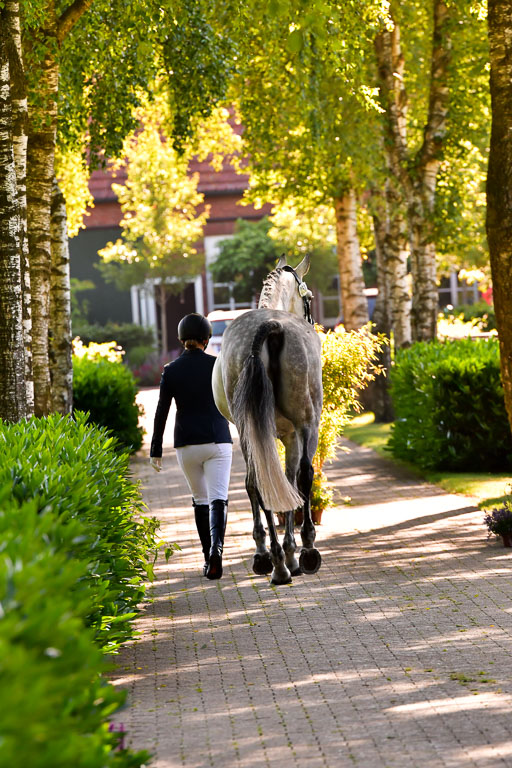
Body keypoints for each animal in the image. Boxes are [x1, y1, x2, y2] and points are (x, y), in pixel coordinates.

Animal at [212, 254, 323, 585]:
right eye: (308, 298)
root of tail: (270, 324)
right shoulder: (294, 433)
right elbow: (294, 479)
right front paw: (295, 550)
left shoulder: (275, 434)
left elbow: (276, 481)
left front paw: (284, 553)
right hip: (307, 422)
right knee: (304, 475)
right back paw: (303, 553)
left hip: (248, 430)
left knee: (255, 482)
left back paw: (271, 560)